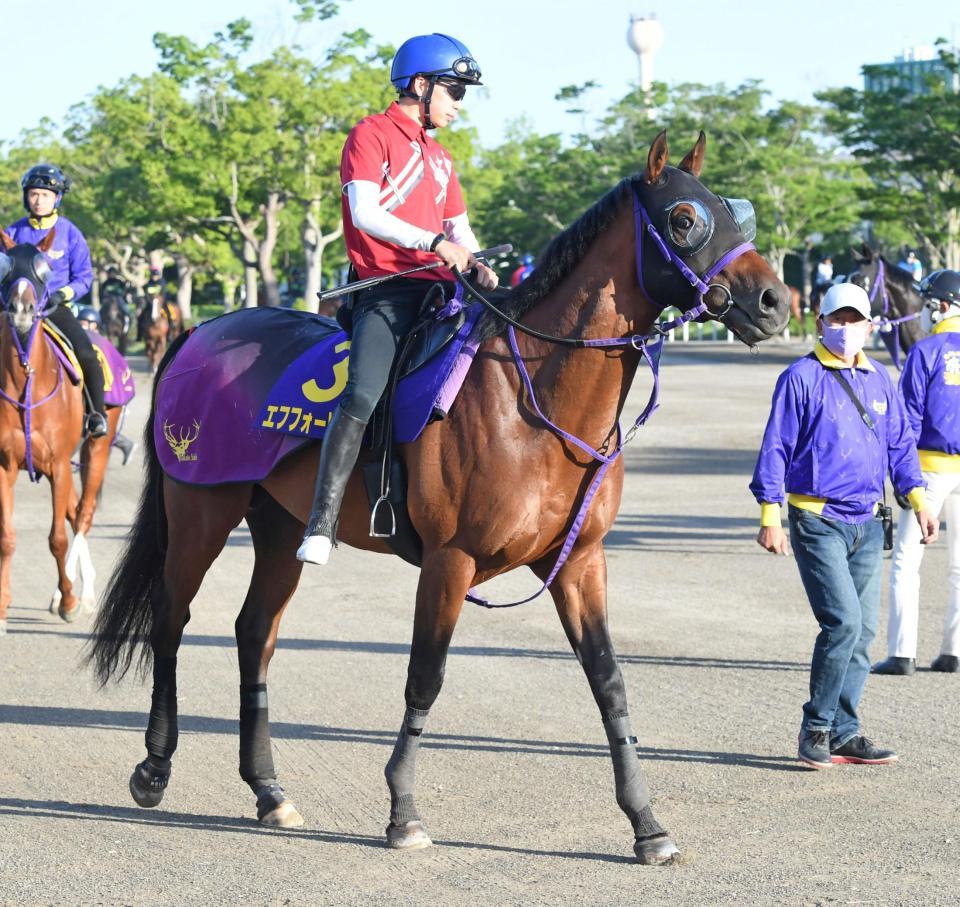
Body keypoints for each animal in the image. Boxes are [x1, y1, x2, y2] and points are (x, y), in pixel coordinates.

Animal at [88, 131, 790, 864]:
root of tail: (204, 330)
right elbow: (425, 675)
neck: (531, 402)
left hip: (279, 526)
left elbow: (608, 680)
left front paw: (646, 822)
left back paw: (268, 790)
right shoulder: (450, 561)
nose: (776, 300)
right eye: (685, 220)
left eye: (737, 211)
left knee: (255, 632)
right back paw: (154, 767)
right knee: (171, 620)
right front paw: (402, 810)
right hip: (201, 511)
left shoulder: (579, 561)